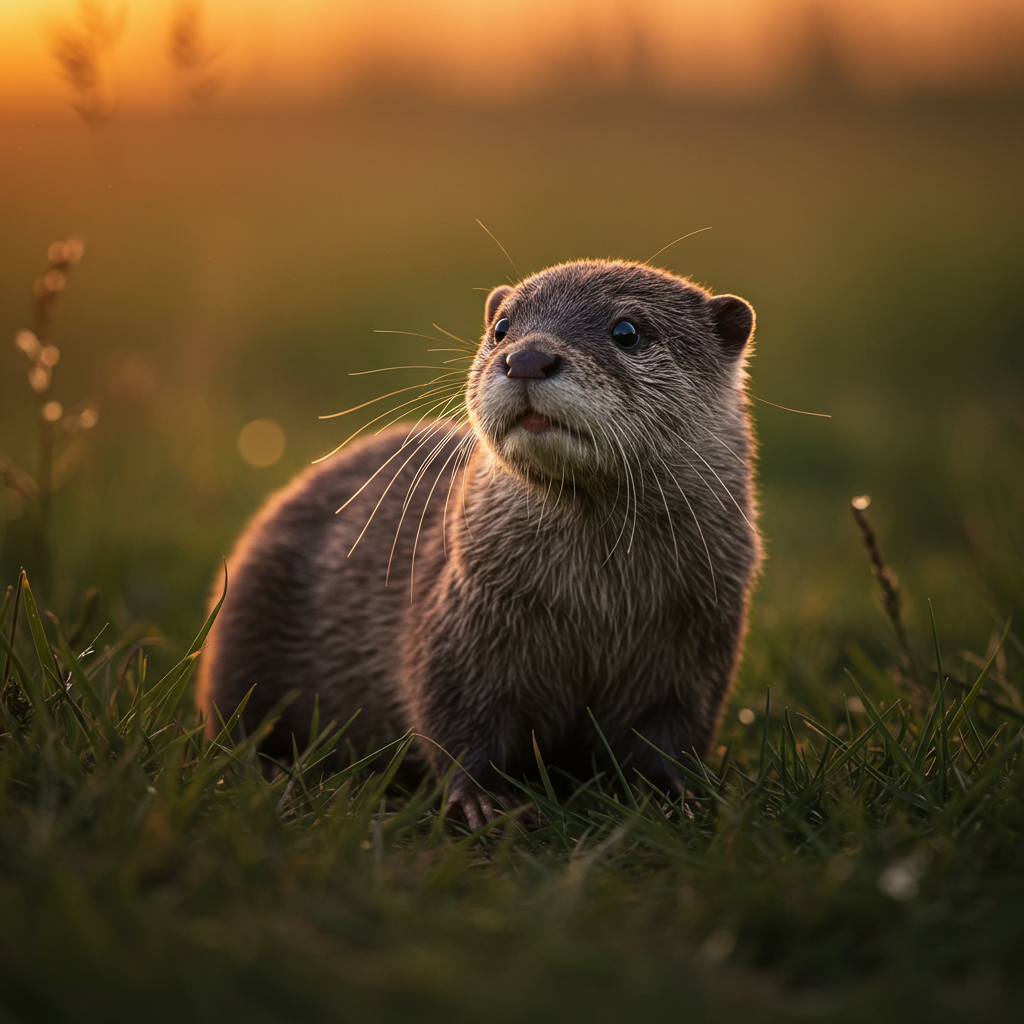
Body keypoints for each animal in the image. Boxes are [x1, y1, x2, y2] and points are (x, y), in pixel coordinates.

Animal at [197, 259, 761, 828]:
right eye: (502, 328)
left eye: (627, 332)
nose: (527, 358)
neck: (596, 606)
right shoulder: (458, 623)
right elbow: (455, 725)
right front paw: (482, 803)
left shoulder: (694, 653)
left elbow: (669, 741)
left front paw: (680, 800)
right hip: (241, 637)